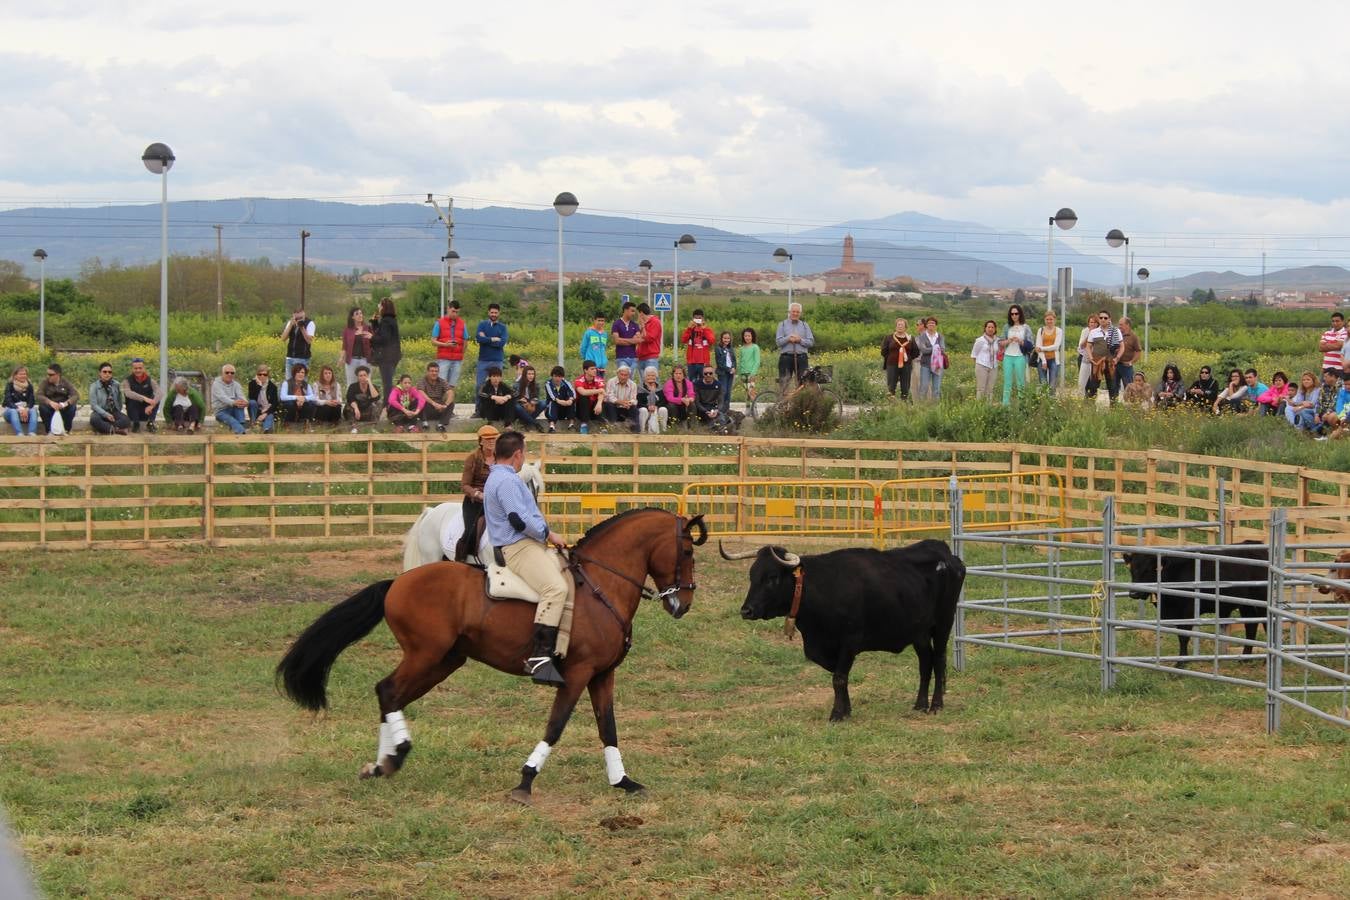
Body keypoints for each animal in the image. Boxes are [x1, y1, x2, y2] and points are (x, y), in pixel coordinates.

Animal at [274, 507, 707, 804]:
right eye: (687, 550)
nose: (683, 604)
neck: (602, 585)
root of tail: (397, 582)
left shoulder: (602, 674)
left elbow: (608, 728)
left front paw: (622, 781)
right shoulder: (578, 673)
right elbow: (556, 726)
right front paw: (526, 780)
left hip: (443, 661)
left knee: (391, 695)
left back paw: (382, 764)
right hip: (426, 655)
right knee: (388, 691)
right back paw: (394, 757)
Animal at [723, 539, 966, 723]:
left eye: (772, 578)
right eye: (752, 576)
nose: (746, 610)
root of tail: (945, 552)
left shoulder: (850, 640)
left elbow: (839, 678)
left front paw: (837, 714)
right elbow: (840, 677)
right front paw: (846, 710)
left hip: (943, 623)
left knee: (939, 660)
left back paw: (936, 705)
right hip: (919, 632)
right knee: (925, 663)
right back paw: (920, 704)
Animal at [1117, 539, 1263, 666]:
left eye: (1148, 569)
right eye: (1131, 569)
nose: (1133, 593)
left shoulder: (1188, 611)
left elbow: (1184, 635)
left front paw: (1181, 663)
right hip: (1246, 604)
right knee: (1251, 625)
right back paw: (1245, 658)